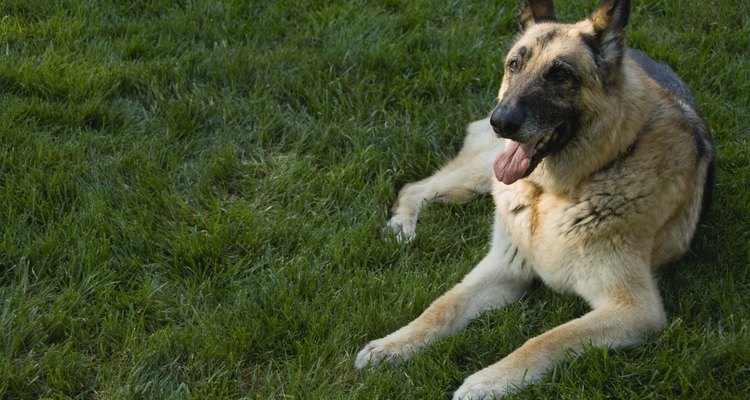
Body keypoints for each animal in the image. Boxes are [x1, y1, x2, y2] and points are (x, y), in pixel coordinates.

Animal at [356, 1, 720, 398]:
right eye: (515, 64)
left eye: (560, 74)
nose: (501, 121)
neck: (556, 193)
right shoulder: (503, 267)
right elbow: (443, 306)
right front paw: (394, 344)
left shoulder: (634, 309)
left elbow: (548, 338)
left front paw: (488, 380)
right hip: (487, 168)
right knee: (413, 188)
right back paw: (402, 226)